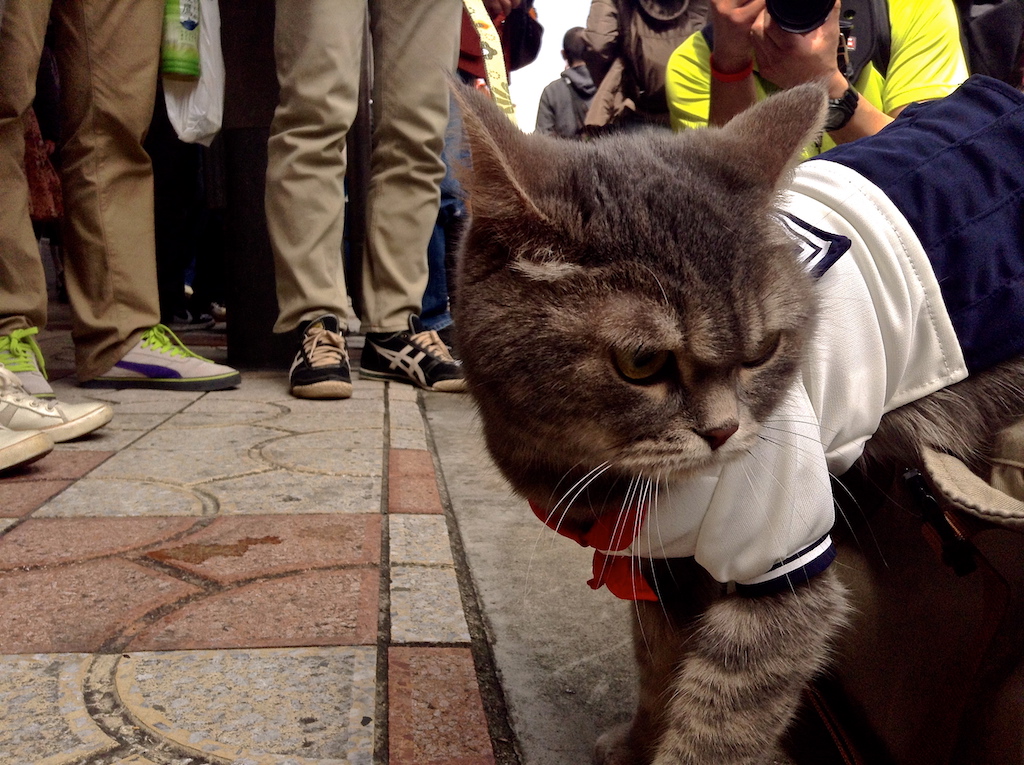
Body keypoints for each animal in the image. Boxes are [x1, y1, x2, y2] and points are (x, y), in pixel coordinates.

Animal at [452, 83, 1024, 765]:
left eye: (763, 351)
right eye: (640, 363)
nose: (723, 432)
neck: (600, 485)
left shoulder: (781, 571)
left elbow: (717, 728)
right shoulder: (663, 571)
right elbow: (657, 671)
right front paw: (636, 744)